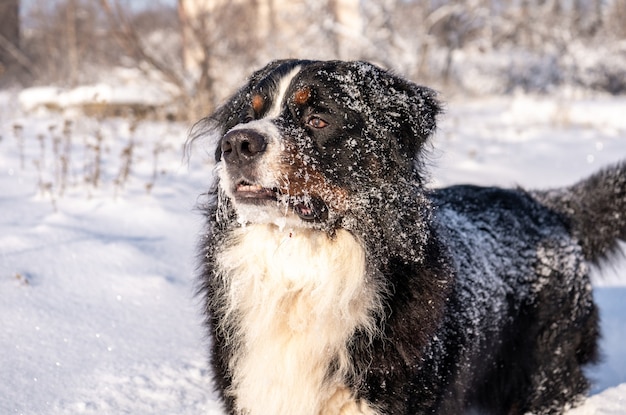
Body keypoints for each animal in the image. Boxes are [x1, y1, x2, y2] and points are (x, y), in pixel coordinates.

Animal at [189, 59, 624, 415]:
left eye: (318, 119)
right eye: (249, 114)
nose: (236, 143)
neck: (303, 265)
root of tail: (544, 205)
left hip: (545, 369)